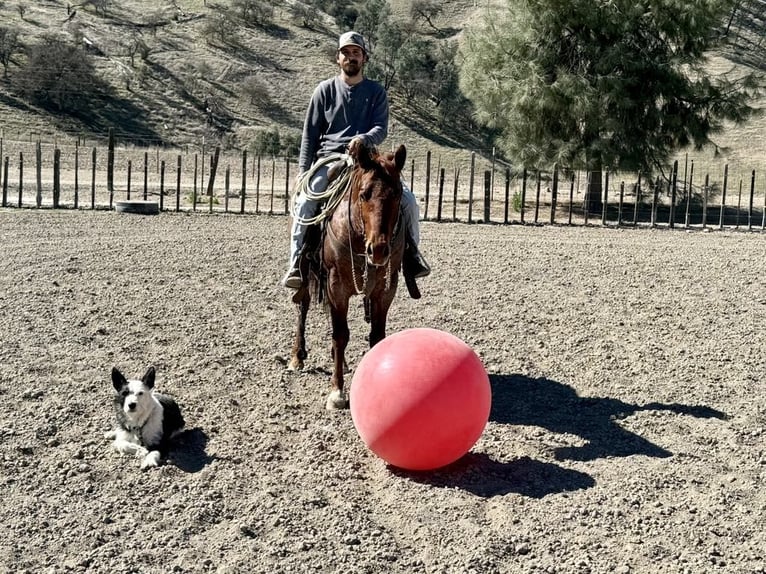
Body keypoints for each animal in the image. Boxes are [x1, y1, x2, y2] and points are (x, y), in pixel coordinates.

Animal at [290, 146, 408, 412]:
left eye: (397, 194)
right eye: (364, 194)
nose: (379, 250)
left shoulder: (386, 289)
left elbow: (377, 335)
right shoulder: (336, 286)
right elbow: (340, 335)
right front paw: (337, 392)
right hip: (306, 275)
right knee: (302, 307)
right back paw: (297, 357)